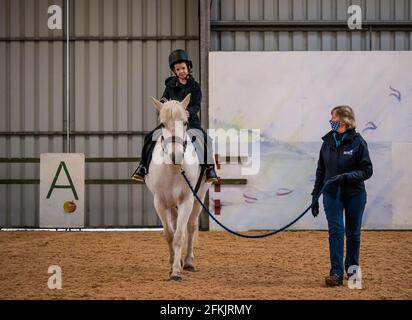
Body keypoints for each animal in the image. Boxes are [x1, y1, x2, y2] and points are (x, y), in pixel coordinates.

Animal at [145, 94, 211, 282]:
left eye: (186, 122)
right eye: (162, 124)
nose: (177, 156)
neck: (173, 170)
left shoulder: (186, 201)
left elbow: (179, 235)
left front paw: (176, 271)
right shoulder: (159, 202)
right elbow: (169, 234)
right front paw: (172, 264)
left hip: (199, 196)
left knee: (191, 227)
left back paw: (188, 262)